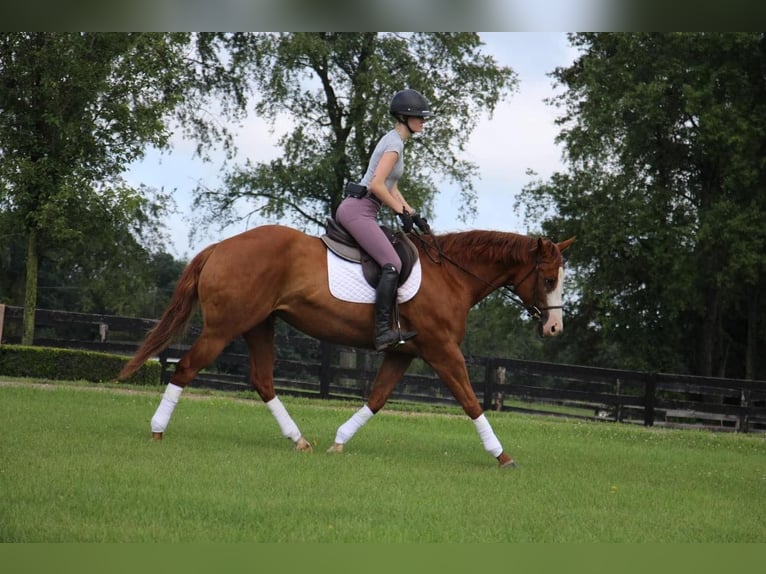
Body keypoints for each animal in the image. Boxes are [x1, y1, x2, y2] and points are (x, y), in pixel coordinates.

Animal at [120, 223, 572, 470]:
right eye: (549, 279)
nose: (554, 328)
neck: (452, 276)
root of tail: (220, 247)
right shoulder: (442, 350)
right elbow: (471, 401)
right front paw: (502, 456)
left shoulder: (402, 352)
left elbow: (377, 398)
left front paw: (339, 441)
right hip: (225, 327)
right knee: (186, 367)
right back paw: (157, 430)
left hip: (259, 325)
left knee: (263, 380)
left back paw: (299, 440)